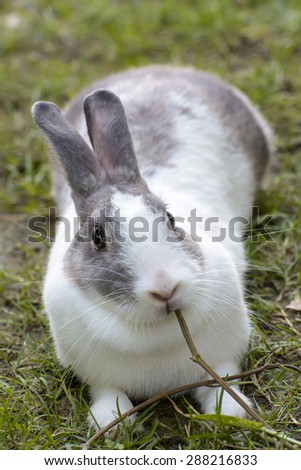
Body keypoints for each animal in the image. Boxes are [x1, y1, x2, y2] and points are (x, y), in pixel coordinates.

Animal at [31, 65, 270, 430]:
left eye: (171, 219)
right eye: (97, 237)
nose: (166, 289)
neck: (155, 333)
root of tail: (156, 70)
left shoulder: (223, 356)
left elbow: (221, 380)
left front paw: (229, 412)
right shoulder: (96, 373)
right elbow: (106, 391)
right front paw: (111, 420)